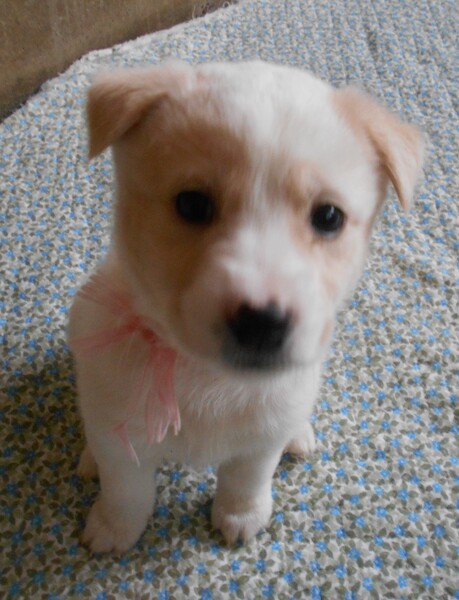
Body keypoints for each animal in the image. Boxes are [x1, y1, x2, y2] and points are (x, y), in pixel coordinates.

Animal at [68, 61, 423, 553]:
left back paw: (300, 434)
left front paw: (240, 515)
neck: (205, 377)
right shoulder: (120, 429)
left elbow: (246, 478)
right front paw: (114, 527)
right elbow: (126, 488)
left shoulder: (263, 434)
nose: (262, 323)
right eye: (192, 204)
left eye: (329, 217)